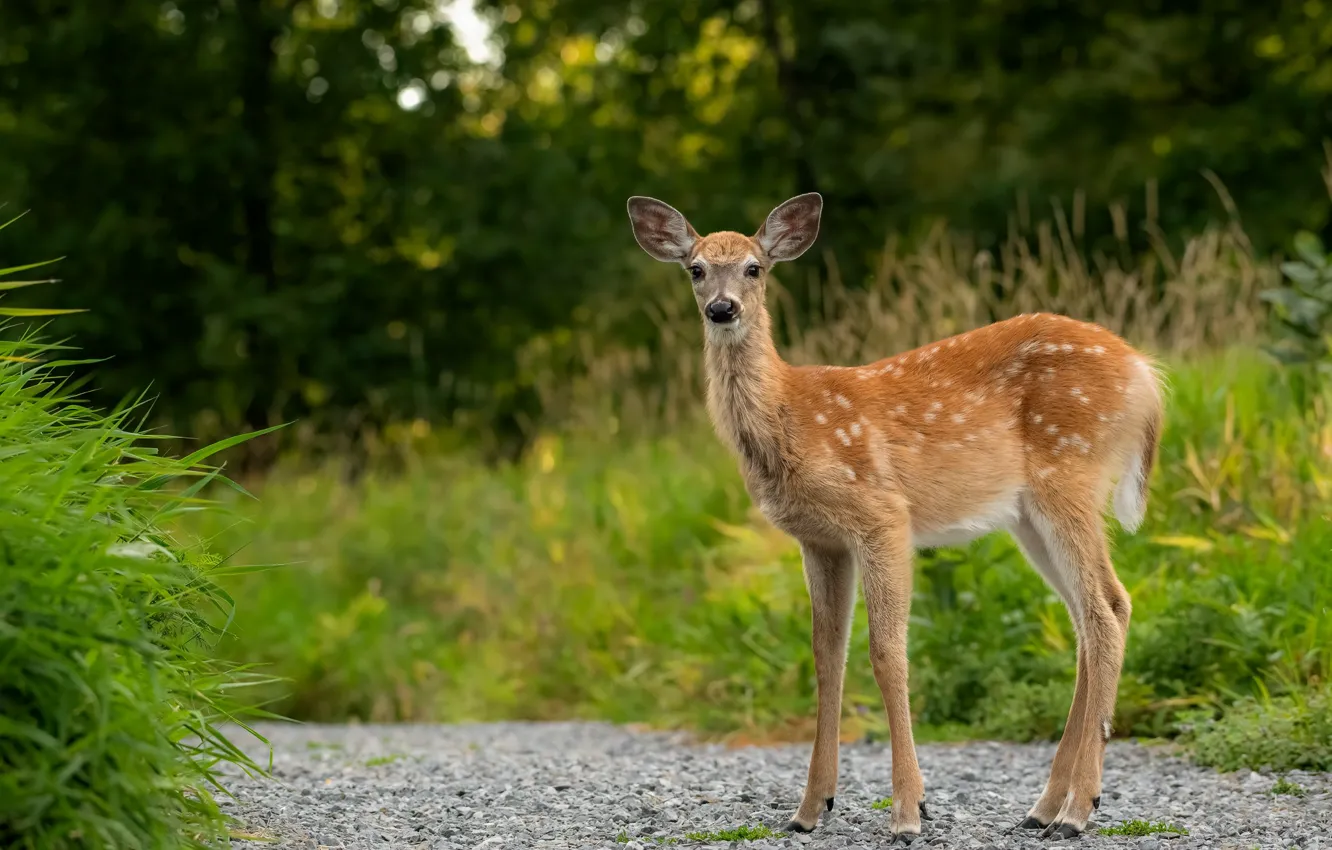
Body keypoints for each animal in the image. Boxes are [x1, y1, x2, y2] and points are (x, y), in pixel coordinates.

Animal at [626, 192, 1165, 843]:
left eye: (755, 267)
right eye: (696, 269)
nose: (722, 309)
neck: (789, 419)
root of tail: (1146, 374)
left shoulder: (881, 516)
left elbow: (886, 652)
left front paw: (909, 812)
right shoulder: (819, 540)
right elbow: (826, 656)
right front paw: (810, 809)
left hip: (1070, 476)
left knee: (1106, 611)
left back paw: (1077, 811)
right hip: (1028, 516)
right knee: (1094, 615)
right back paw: (1043, 808)